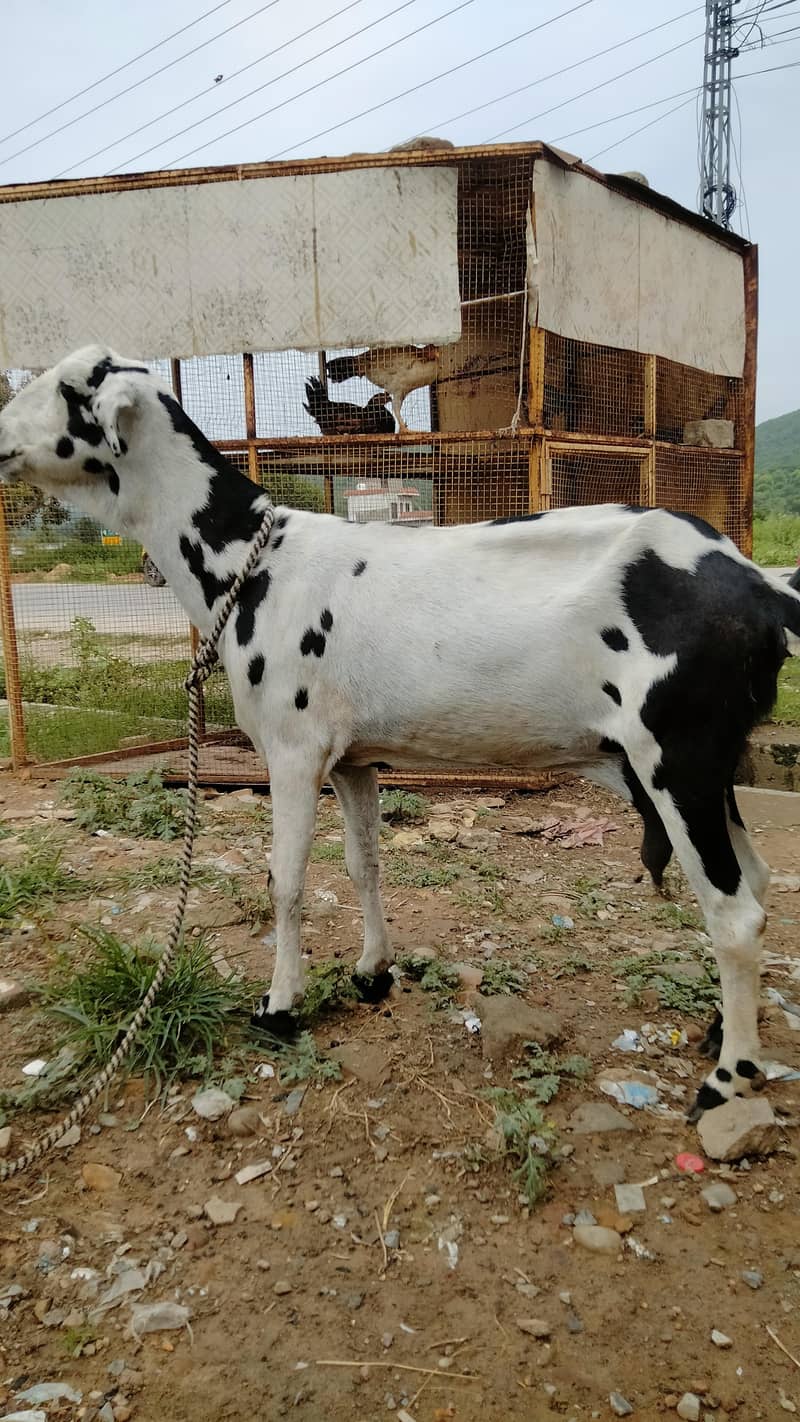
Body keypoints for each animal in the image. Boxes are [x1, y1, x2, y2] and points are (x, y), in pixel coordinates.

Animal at [1, 346, 798, 1122]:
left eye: (65, 387)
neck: (253, 561)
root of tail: (761, 588)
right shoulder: (353, 759)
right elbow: (363, 865)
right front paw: (371, 971)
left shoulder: (293, 751)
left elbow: (286, 879)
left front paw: (280, 1005)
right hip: (705, 762)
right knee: (756, 880)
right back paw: (721, 1033)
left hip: (677, 755)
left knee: (735, 911)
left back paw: (728, 1078)